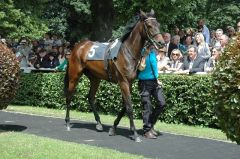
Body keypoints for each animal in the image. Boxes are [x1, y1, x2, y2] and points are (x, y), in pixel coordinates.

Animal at [63, 9, 165, 142]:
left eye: (158, 24)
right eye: (149, 26)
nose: (162, 43)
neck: (128, 52)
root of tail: (77, 47)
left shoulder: (129, 83)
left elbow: (124, 106)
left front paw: (113, 128)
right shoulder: (123, 82)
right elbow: (129, 107)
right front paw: (135, 134)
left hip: (95, 78)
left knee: (90, 97)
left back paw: (99, 123)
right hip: (74, 75)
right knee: (69, 96)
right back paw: (68, 122)